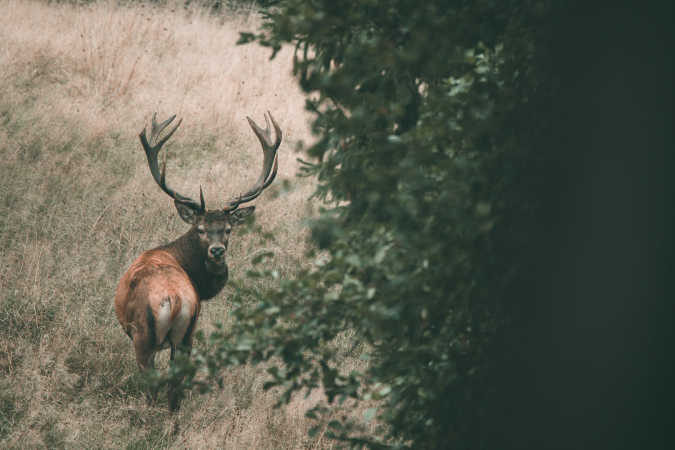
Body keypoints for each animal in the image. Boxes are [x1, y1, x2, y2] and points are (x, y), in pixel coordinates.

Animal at [115, 110, 282, 410]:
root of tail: (174, 299)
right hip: (187, 334)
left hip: (144, 337)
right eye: (201, 229)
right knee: (175, 383)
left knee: (152, 383)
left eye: (228, 229)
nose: (217, 251)